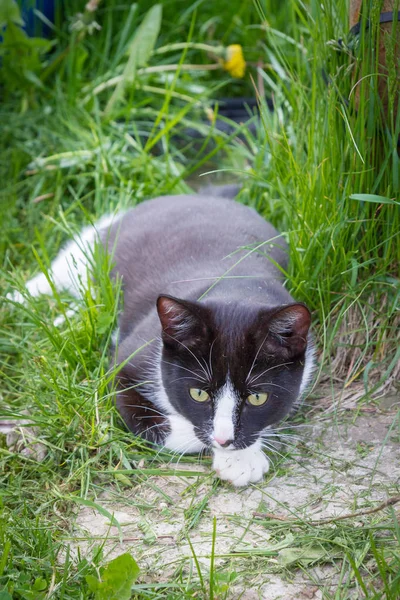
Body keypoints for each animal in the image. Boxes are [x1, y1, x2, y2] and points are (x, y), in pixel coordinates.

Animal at [10, 189, 316, 488]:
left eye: (257, 398)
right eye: (198, 393)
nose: (224, 440)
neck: (237, 287)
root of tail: (200, 195)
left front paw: (241, 454)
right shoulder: (126, 362)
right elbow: (159, 423)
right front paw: (239, 459)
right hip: (100, 243)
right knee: (65, 264)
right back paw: (19, 298)